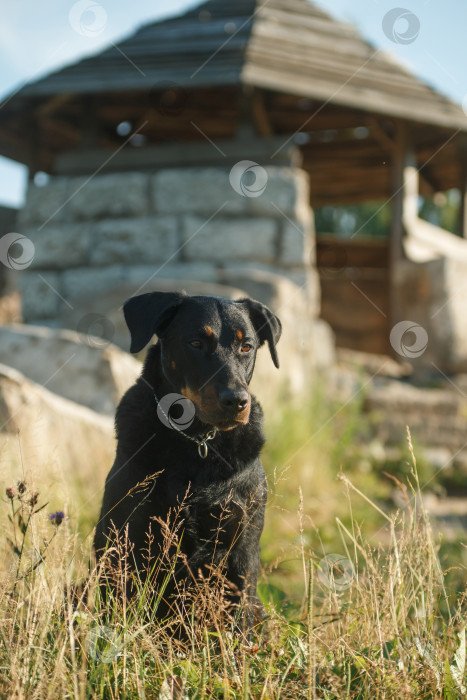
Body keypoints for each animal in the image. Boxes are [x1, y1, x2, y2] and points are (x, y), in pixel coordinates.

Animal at [93, 290, 280, 628]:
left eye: (246, 346)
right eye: (195, 343)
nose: (237, 401)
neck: (198, 441)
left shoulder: (242, 542)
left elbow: (238, 618)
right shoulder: (128, 535)